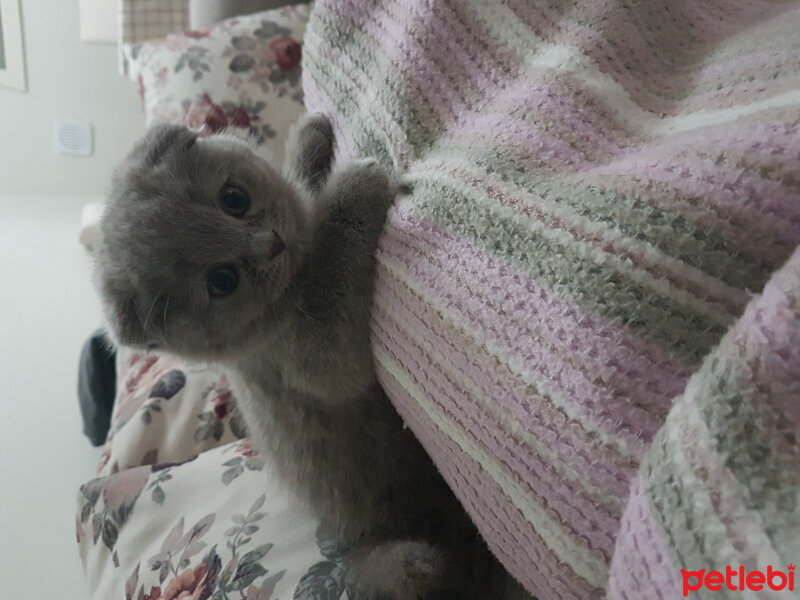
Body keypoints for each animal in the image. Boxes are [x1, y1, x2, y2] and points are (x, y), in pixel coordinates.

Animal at [94, 115, 520, 596]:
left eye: (234, 199)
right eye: (222, 281)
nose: (272, 244)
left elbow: (304, 196)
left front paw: (310, 139)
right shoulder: (311, 357)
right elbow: (334, 314)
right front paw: (356, 184)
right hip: (405, 552)